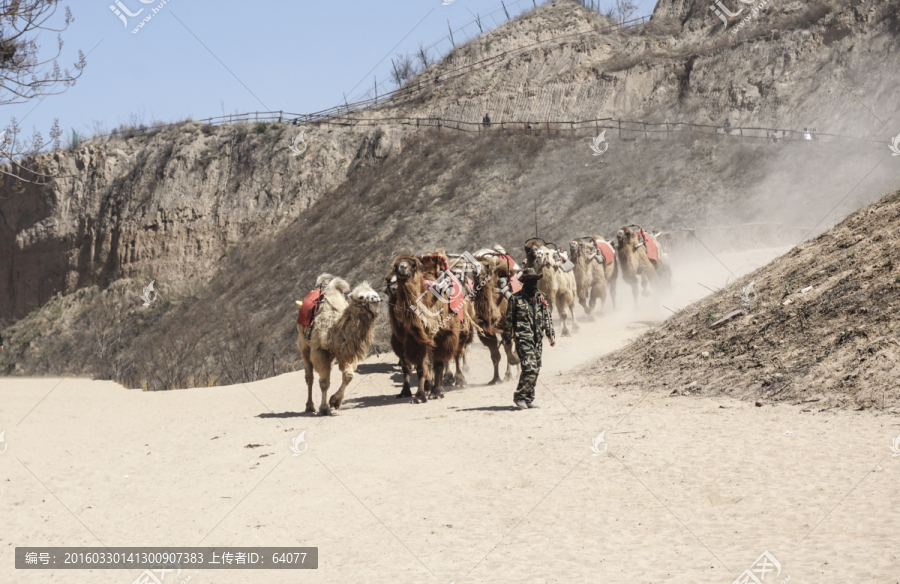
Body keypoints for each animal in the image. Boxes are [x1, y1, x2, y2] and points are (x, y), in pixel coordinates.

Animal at [296, 274, 380, 416]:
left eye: (374, 292)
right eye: (361, 297)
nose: (376, 298)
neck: (333, 328)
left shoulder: (344, 351)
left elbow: (348, 376)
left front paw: (335, 401)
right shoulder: (319, 351)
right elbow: (324, 382)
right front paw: (324, 408)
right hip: (304, 346)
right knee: (310, 377)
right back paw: (310, 406)